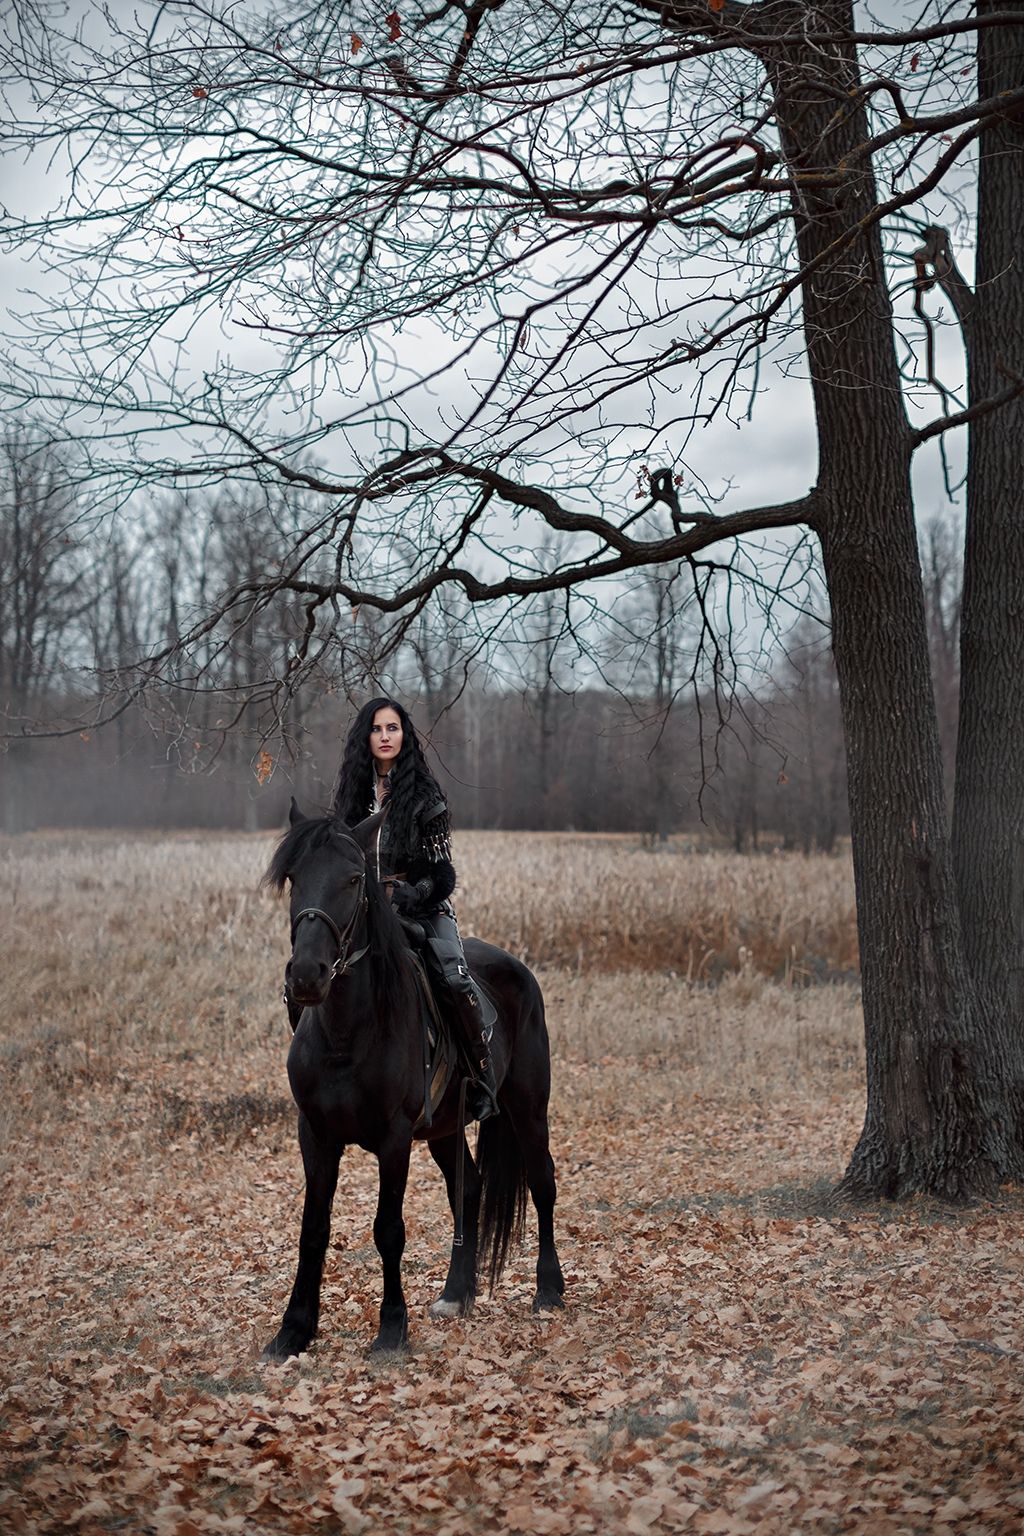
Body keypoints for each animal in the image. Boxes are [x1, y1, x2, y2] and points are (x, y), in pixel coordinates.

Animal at [260, 804, 564, 1357]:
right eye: (293, 877)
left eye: (354, 879)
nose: (308, 976)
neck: (347, 1034)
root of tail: (519, 969)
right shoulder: (315, 1135)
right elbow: (313, 1229)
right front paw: (293, 1330)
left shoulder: (394, 1139)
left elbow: (388, 1230)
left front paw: (391, 1331)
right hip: (445, 1127)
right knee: (469, 1188)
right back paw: (455, 1295)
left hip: (528, 1107)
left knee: (542, 1182)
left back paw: (549, 1291)